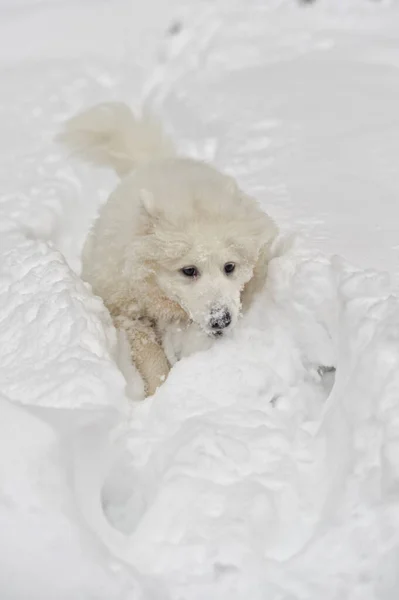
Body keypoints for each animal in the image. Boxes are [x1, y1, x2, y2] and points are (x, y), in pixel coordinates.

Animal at [59, 103, 278, 396]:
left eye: (230, 267)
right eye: (189, 270)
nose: (221, 320)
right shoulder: (128, 311)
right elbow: (151, 356)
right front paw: (159, 390)